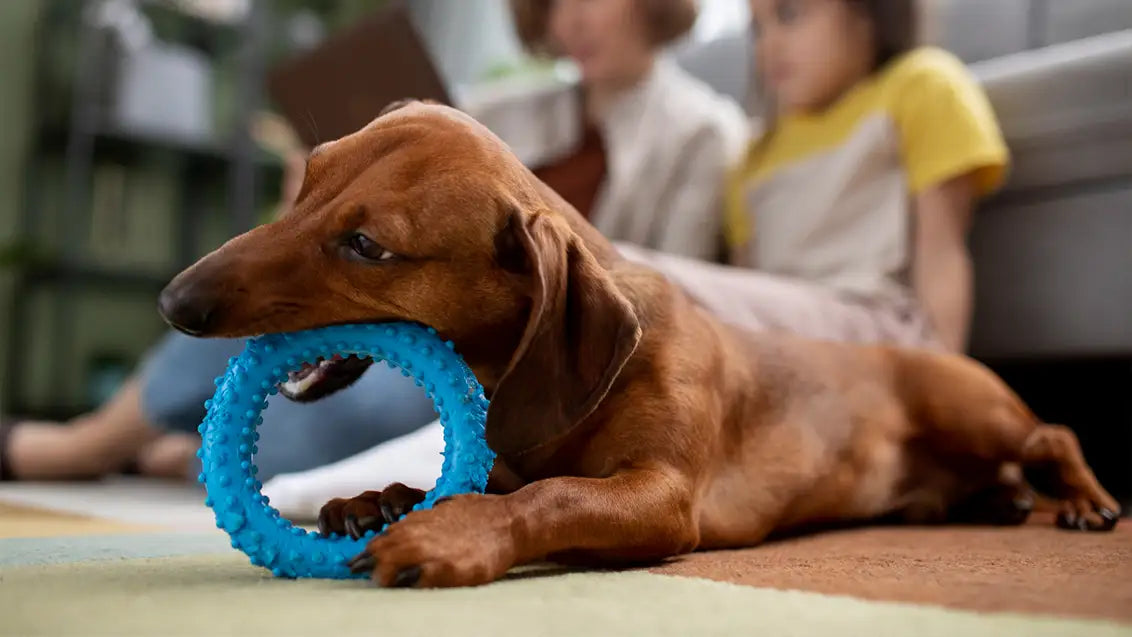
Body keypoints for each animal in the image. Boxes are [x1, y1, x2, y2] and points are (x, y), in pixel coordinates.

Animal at [159, 100, 1122, 588]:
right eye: (307, 180)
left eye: (367, 245)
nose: (175, 302)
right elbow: (496, 481)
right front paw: (378, 498)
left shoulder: (662, 498)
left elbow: (549, 497)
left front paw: (449, 535)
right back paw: (1005, 501)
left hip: (971, 410)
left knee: (1052, 434)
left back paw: (1081, 501)